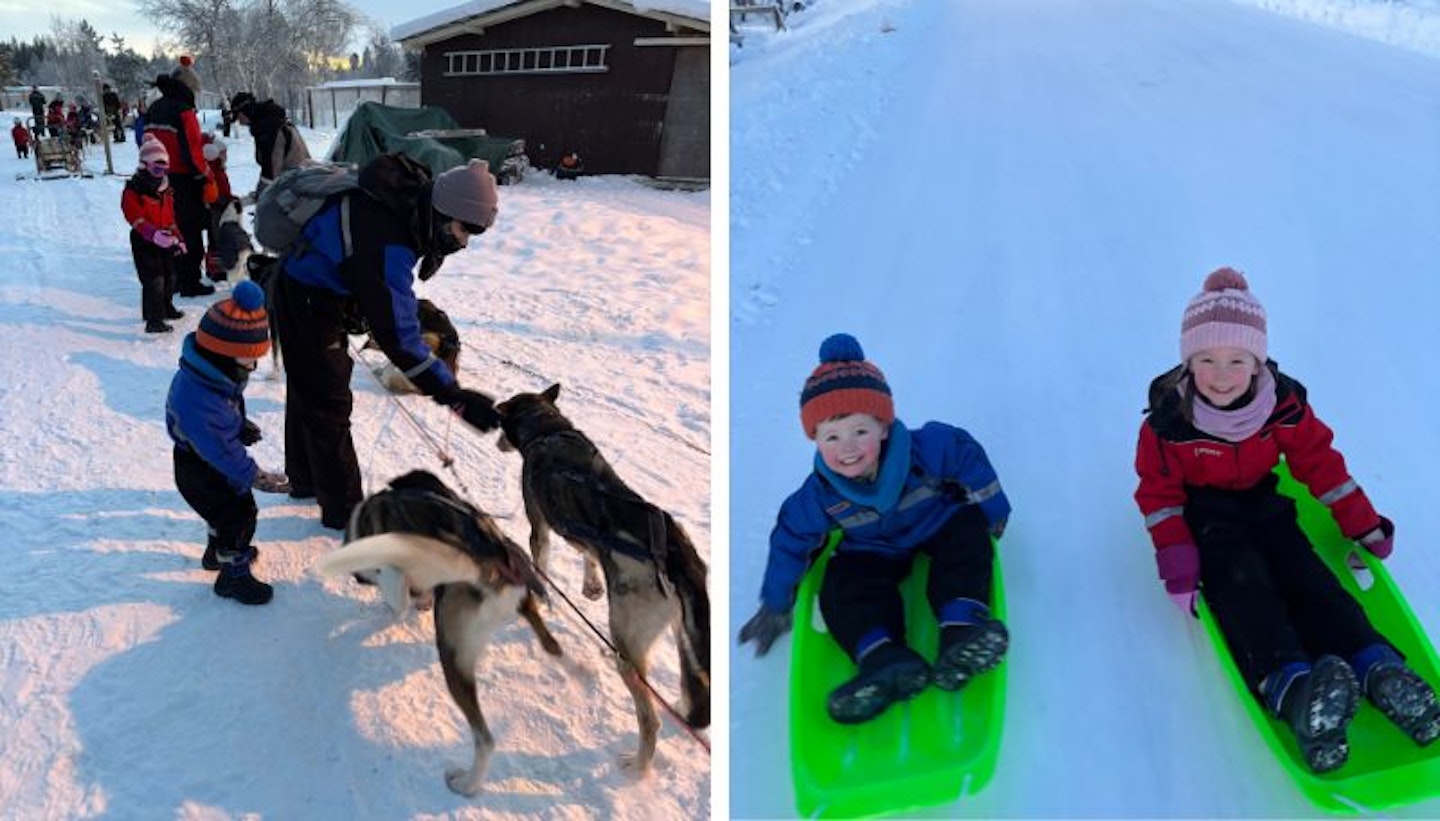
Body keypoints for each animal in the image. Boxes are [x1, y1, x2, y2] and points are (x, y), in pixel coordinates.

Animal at [318, 466, 558, 795]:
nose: (359, 579)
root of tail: (495, 565)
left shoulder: (392, 573)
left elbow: (395, 601)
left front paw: (386, 611)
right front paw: (418, 600)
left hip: (451, 654)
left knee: (485, 739)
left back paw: (467, 784)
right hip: (517, 609)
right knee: (551, 643)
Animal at [498, 380, 711, 772]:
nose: (499, 442)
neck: (547, 430)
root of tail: (675, 553)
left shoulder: (540, 527)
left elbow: (541, 566)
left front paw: (545, 597)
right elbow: (587, 553)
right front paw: (591, 583)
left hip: (626, 645)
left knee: (649, 719)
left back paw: (638, 766)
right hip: (682, 638)